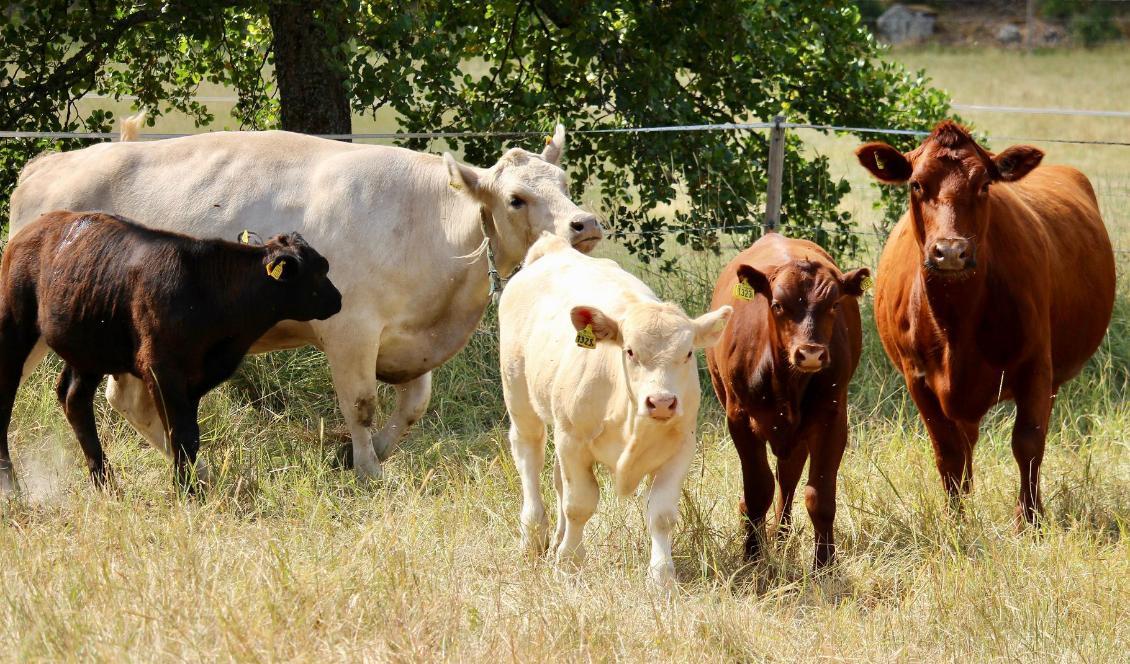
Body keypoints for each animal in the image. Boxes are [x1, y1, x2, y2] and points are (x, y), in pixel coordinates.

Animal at [0, 211, 341, 492]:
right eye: (319, 270)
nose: (338, 299)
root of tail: (37, 226)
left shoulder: (193, 379)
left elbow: (190, 438)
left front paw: (189, 486)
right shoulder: (161, 371)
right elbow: (181, 434)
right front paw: (186, 492)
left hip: (88, 346)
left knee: (74, 398)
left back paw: (105, 484)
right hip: (13, 326)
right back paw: (11, 486)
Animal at [497, 232, 727, 582]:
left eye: (688, 353)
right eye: (629, 351)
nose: (662, 402)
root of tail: (553, 248)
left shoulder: (681, 446)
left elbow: (661, 513)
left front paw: (662, 577)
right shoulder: (573, 440)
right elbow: (579, 503)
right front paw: (569, 561)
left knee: (556, 479)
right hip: (520, 397)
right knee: (529, 459)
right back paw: (533, 538)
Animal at [705, 232, 872, 564]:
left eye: (834, 304)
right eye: (778, 305)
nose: (811, 353)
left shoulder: (832, 418)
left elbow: (819, 496)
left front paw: (825, 564)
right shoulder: (739, 418)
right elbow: (758, 490)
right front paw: (753, 556)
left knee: (789, 477)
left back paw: (781, 536)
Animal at [858, 119, 1116, 523]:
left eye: (984, 185)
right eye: (916, 184)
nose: (951, 251)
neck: (956, 323)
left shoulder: (1035, 367)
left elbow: (1028, 443)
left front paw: (1029, 520)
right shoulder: (917, 379)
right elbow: (948, 451)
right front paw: (956, 520)